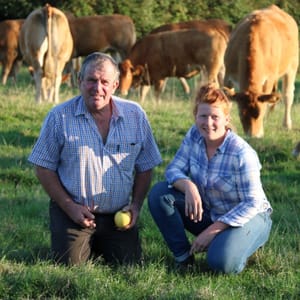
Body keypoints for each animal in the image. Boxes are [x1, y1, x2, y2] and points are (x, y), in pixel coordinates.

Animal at [224, 4, 298, 138]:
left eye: (260, 113)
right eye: (241, 115)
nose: (253, 136)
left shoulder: (269, 78)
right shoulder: (228, 75)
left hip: (292, 66)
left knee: (288, 95)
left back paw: (286, 124)